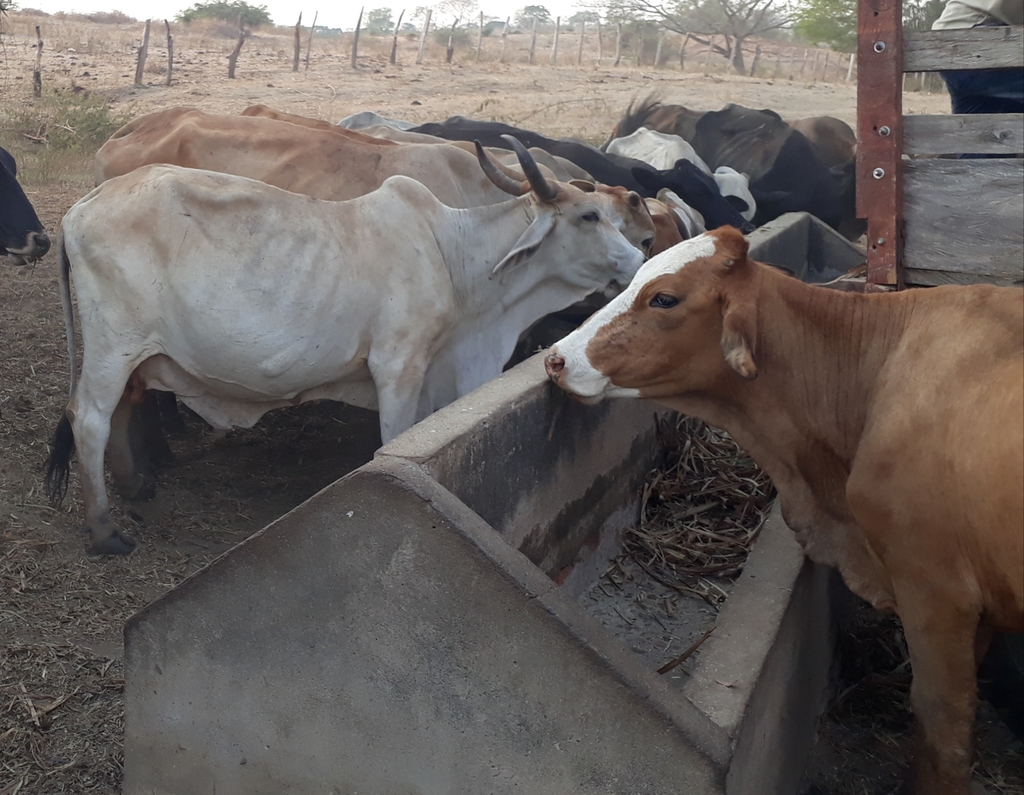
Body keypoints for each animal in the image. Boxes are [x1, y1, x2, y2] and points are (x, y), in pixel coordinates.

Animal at [45, 140, 650, 556]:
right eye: (589, 216)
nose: (640, 261)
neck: (454, 258)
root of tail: (81, 207)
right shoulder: (398, 366)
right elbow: (393, 436)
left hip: (133, 354)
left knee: (123, 409)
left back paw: (135, 487)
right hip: (112, 345)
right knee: (90, 418)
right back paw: (105, 530)